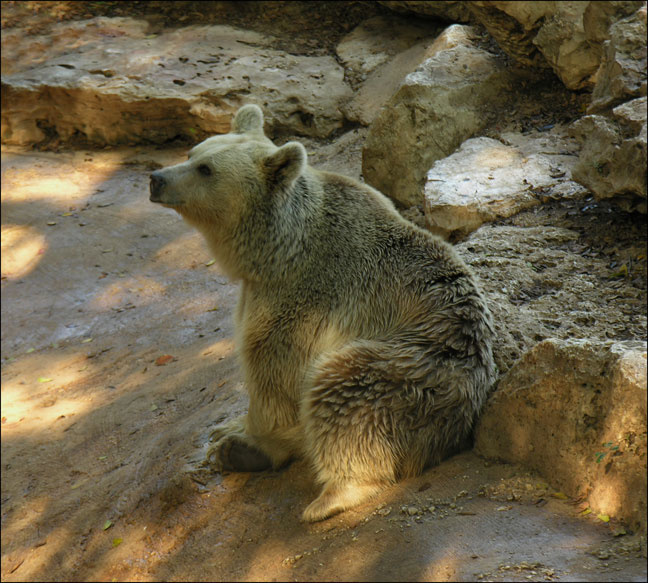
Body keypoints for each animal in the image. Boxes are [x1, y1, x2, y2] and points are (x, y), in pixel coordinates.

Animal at [149, 104, 496, 522]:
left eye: (206, 169)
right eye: (192, 153)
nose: (156, 179)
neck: (277, 249)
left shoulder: (306, 295)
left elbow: (271, 371)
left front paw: (248, 436)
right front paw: (227, 431)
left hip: (416, 368)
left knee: (346, 391)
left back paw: (329, 496)